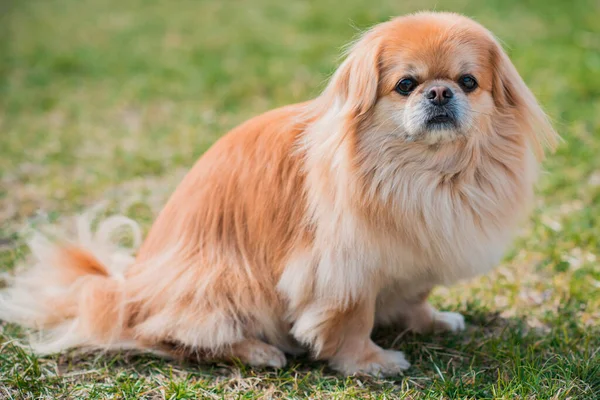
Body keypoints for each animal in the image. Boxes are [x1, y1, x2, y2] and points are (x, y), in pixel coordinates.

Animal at [2, 11, 560, 376]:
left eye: (468, 82)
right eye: (406, 85)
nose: (440, 92)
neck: (426, 173)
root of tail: (127, 289)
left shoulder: (417, 249)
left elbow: (415, 294)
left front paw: (431, 321)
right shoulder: (343, 267)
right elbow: (352, 319)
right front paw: (369, 362)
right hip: (223, 282)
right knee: (163, 334)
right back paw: (257, 351)